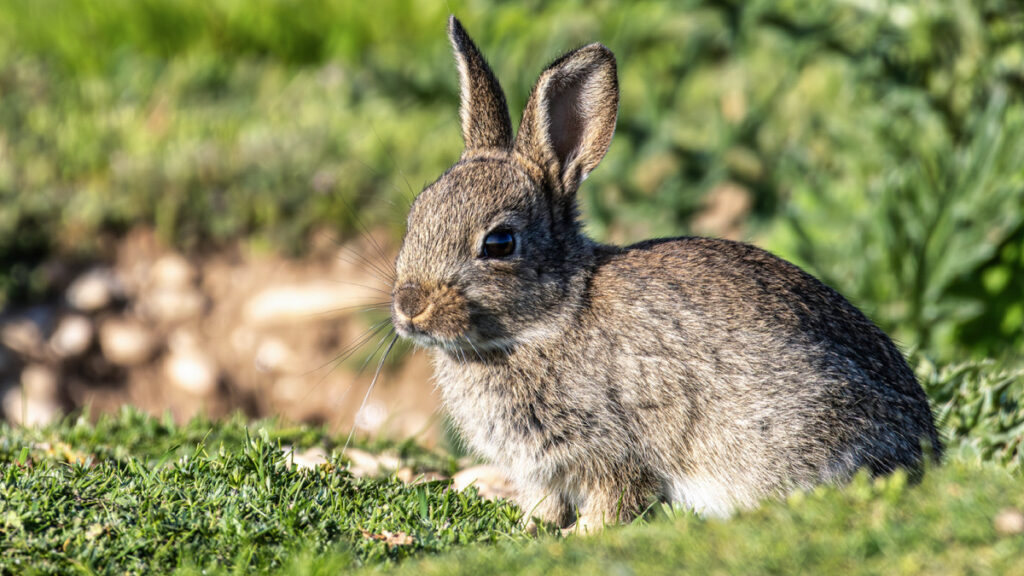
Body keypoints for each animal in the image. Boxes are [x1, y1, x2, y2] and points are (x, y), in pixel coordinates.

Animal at [391, 16, 942, 528]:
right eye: (415, 216)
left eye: (499, 243)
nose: (409, 307)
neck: (549, 319)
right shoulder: (541, 470)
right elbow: (545, 502)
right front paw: (535, 528)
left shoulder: (616, 448)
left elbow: (616, 498)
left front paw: (584, 535)